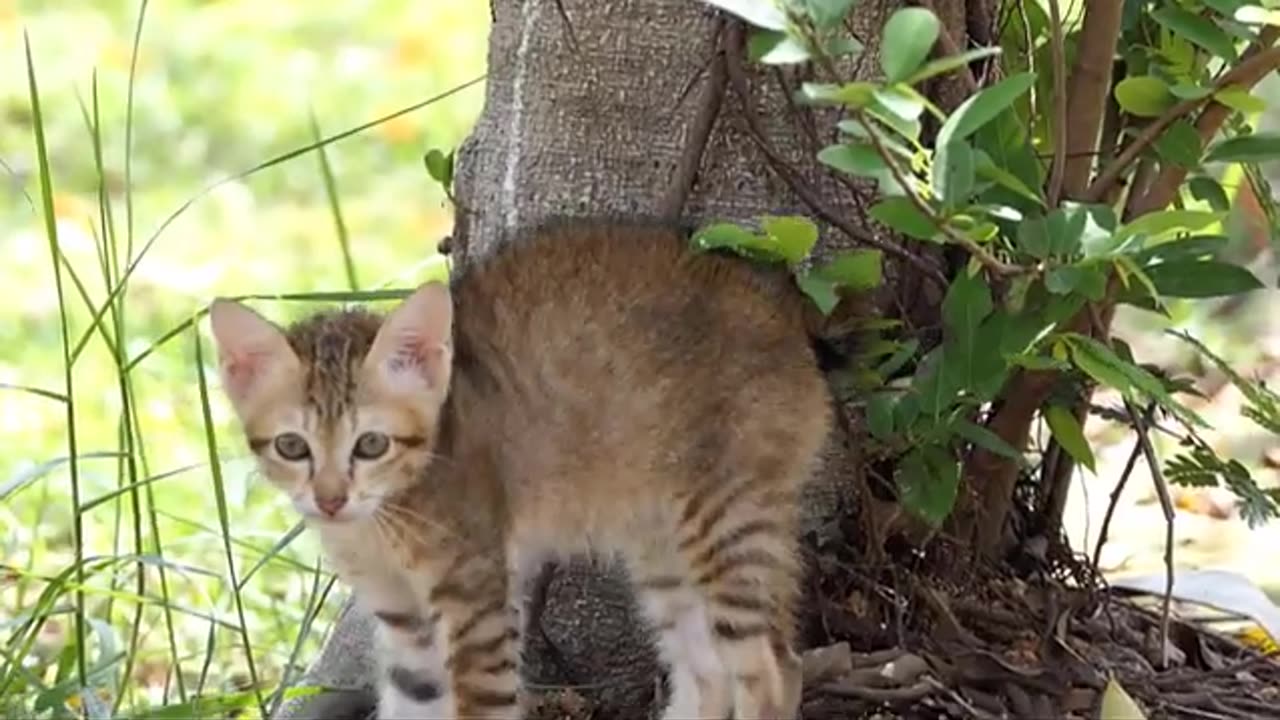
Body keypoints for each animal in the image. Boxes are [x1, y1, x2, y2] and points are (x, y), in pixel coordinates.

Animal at [209, 220, 829, 717]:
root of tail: (781, 309)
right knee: (707, 671)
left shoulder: (476, 601)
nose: (331, 500)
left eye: (371, 445)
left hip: (726, 521)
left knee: (775, 667)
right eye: (293, 447)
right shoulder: (404, 620)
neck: (383, 521)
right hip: (661, 548)